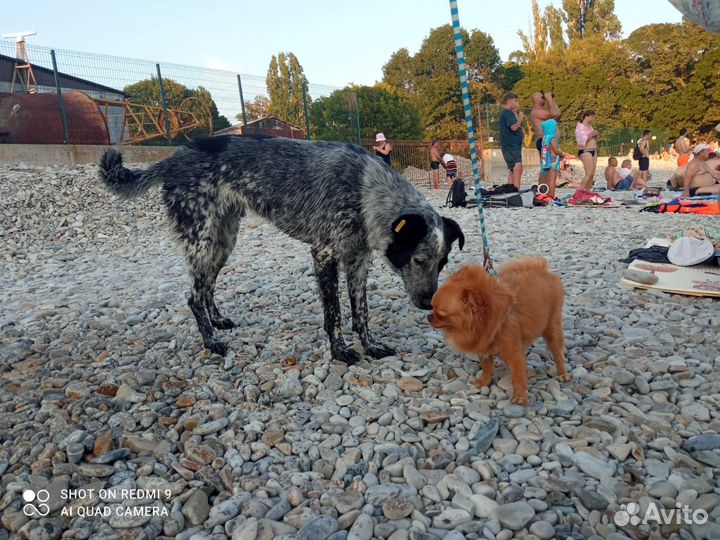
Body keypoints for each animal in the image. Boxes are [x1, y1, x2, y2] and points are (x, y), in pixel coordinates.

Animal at [98, 135, 464, 362]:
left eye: (442, 263)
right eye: (418, 259)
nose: (428, 303)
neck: (366, 189)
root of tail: (172, 159)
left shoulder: (358, 260)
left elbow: (360, 312)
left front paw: (371, 346)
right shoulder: (324, 255)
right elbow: (334, 314)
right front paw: (340, 352)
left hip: (223, 242)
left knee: (206, 289)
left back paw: (217, 321)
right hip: (202, 240)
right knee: (193, 297)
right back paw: (211, 341)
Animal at [428, 258, 572, 404]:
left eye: (441, 315)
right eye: (432, 307)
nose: (429, 316)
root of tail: (542, 269)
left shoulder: (514, 355)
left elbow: (518, 376)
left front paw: (520, 396)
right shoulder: (484, 349)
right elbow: (486, 368)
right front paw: (483, 382)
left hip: (552, 329)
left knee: (557, 354)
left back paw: (562, 373)